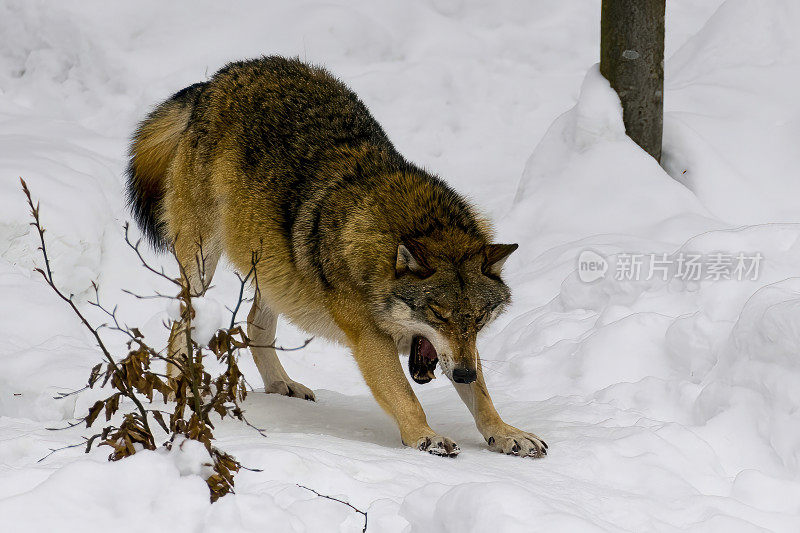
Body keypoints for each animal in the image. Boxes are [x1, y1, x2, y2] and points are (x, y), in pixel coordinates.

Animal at [126, 55, 552, 458]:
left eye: (478, 319)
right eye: (438, 314)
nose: (462, 375)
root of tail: (214, 81)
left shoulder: (462, 351)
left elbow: (483, 398)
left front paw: (506, 434)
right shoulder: (370, 339)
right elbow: (407, 398)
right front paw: (425, 437)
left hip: (274, 269)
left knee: (253, 323)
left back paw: (281, 384)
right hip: (202, 266)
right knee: (180, 323)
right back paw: (178, 387)